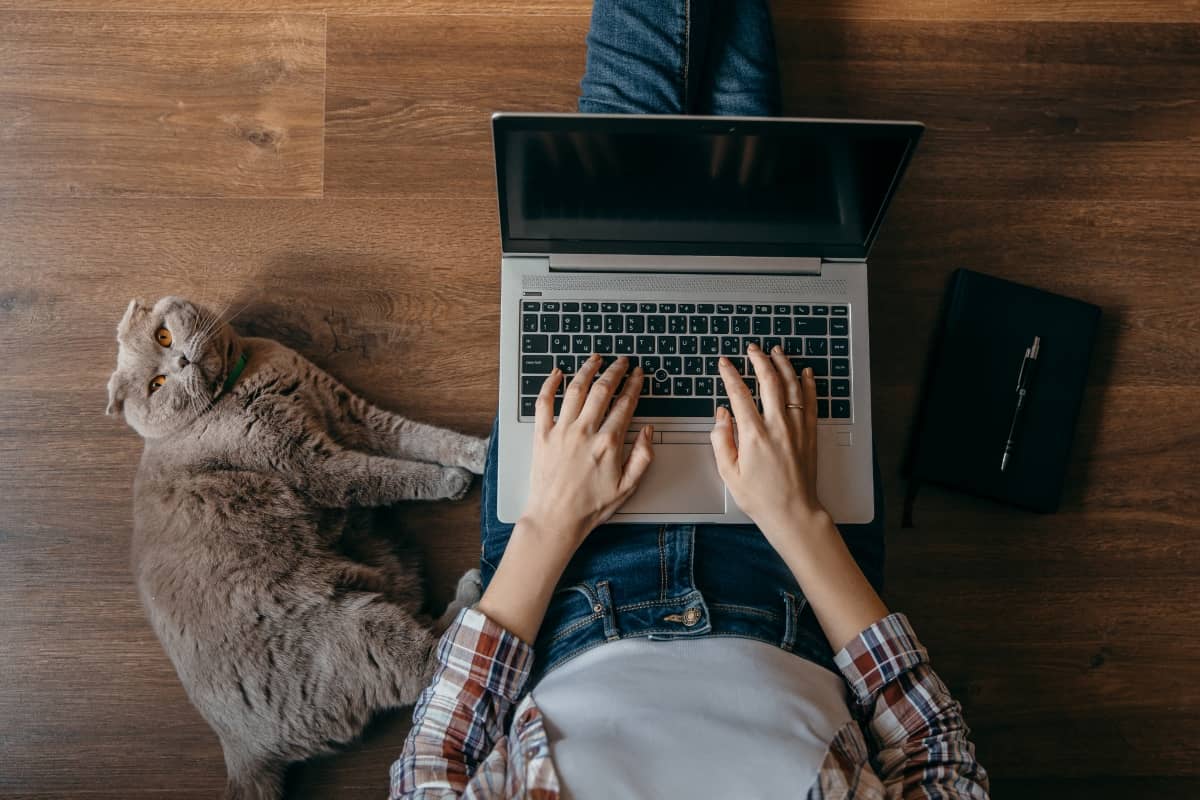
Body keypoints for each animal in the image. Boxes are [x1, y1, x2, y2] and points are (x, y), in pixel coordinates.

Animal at [106, 298, 487, 800]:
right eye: (157, 385)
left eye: (164, 337)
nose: (180, 362)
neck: (241, 383)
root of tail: (239, 748)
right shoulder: (312, 465)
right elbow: (386, 473)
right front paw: (450, 479)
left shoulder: (349, 410)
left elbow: (421, 436)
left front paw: (481, 451)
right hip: (354, 628)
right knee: (430, 665)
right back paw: (473, 597)